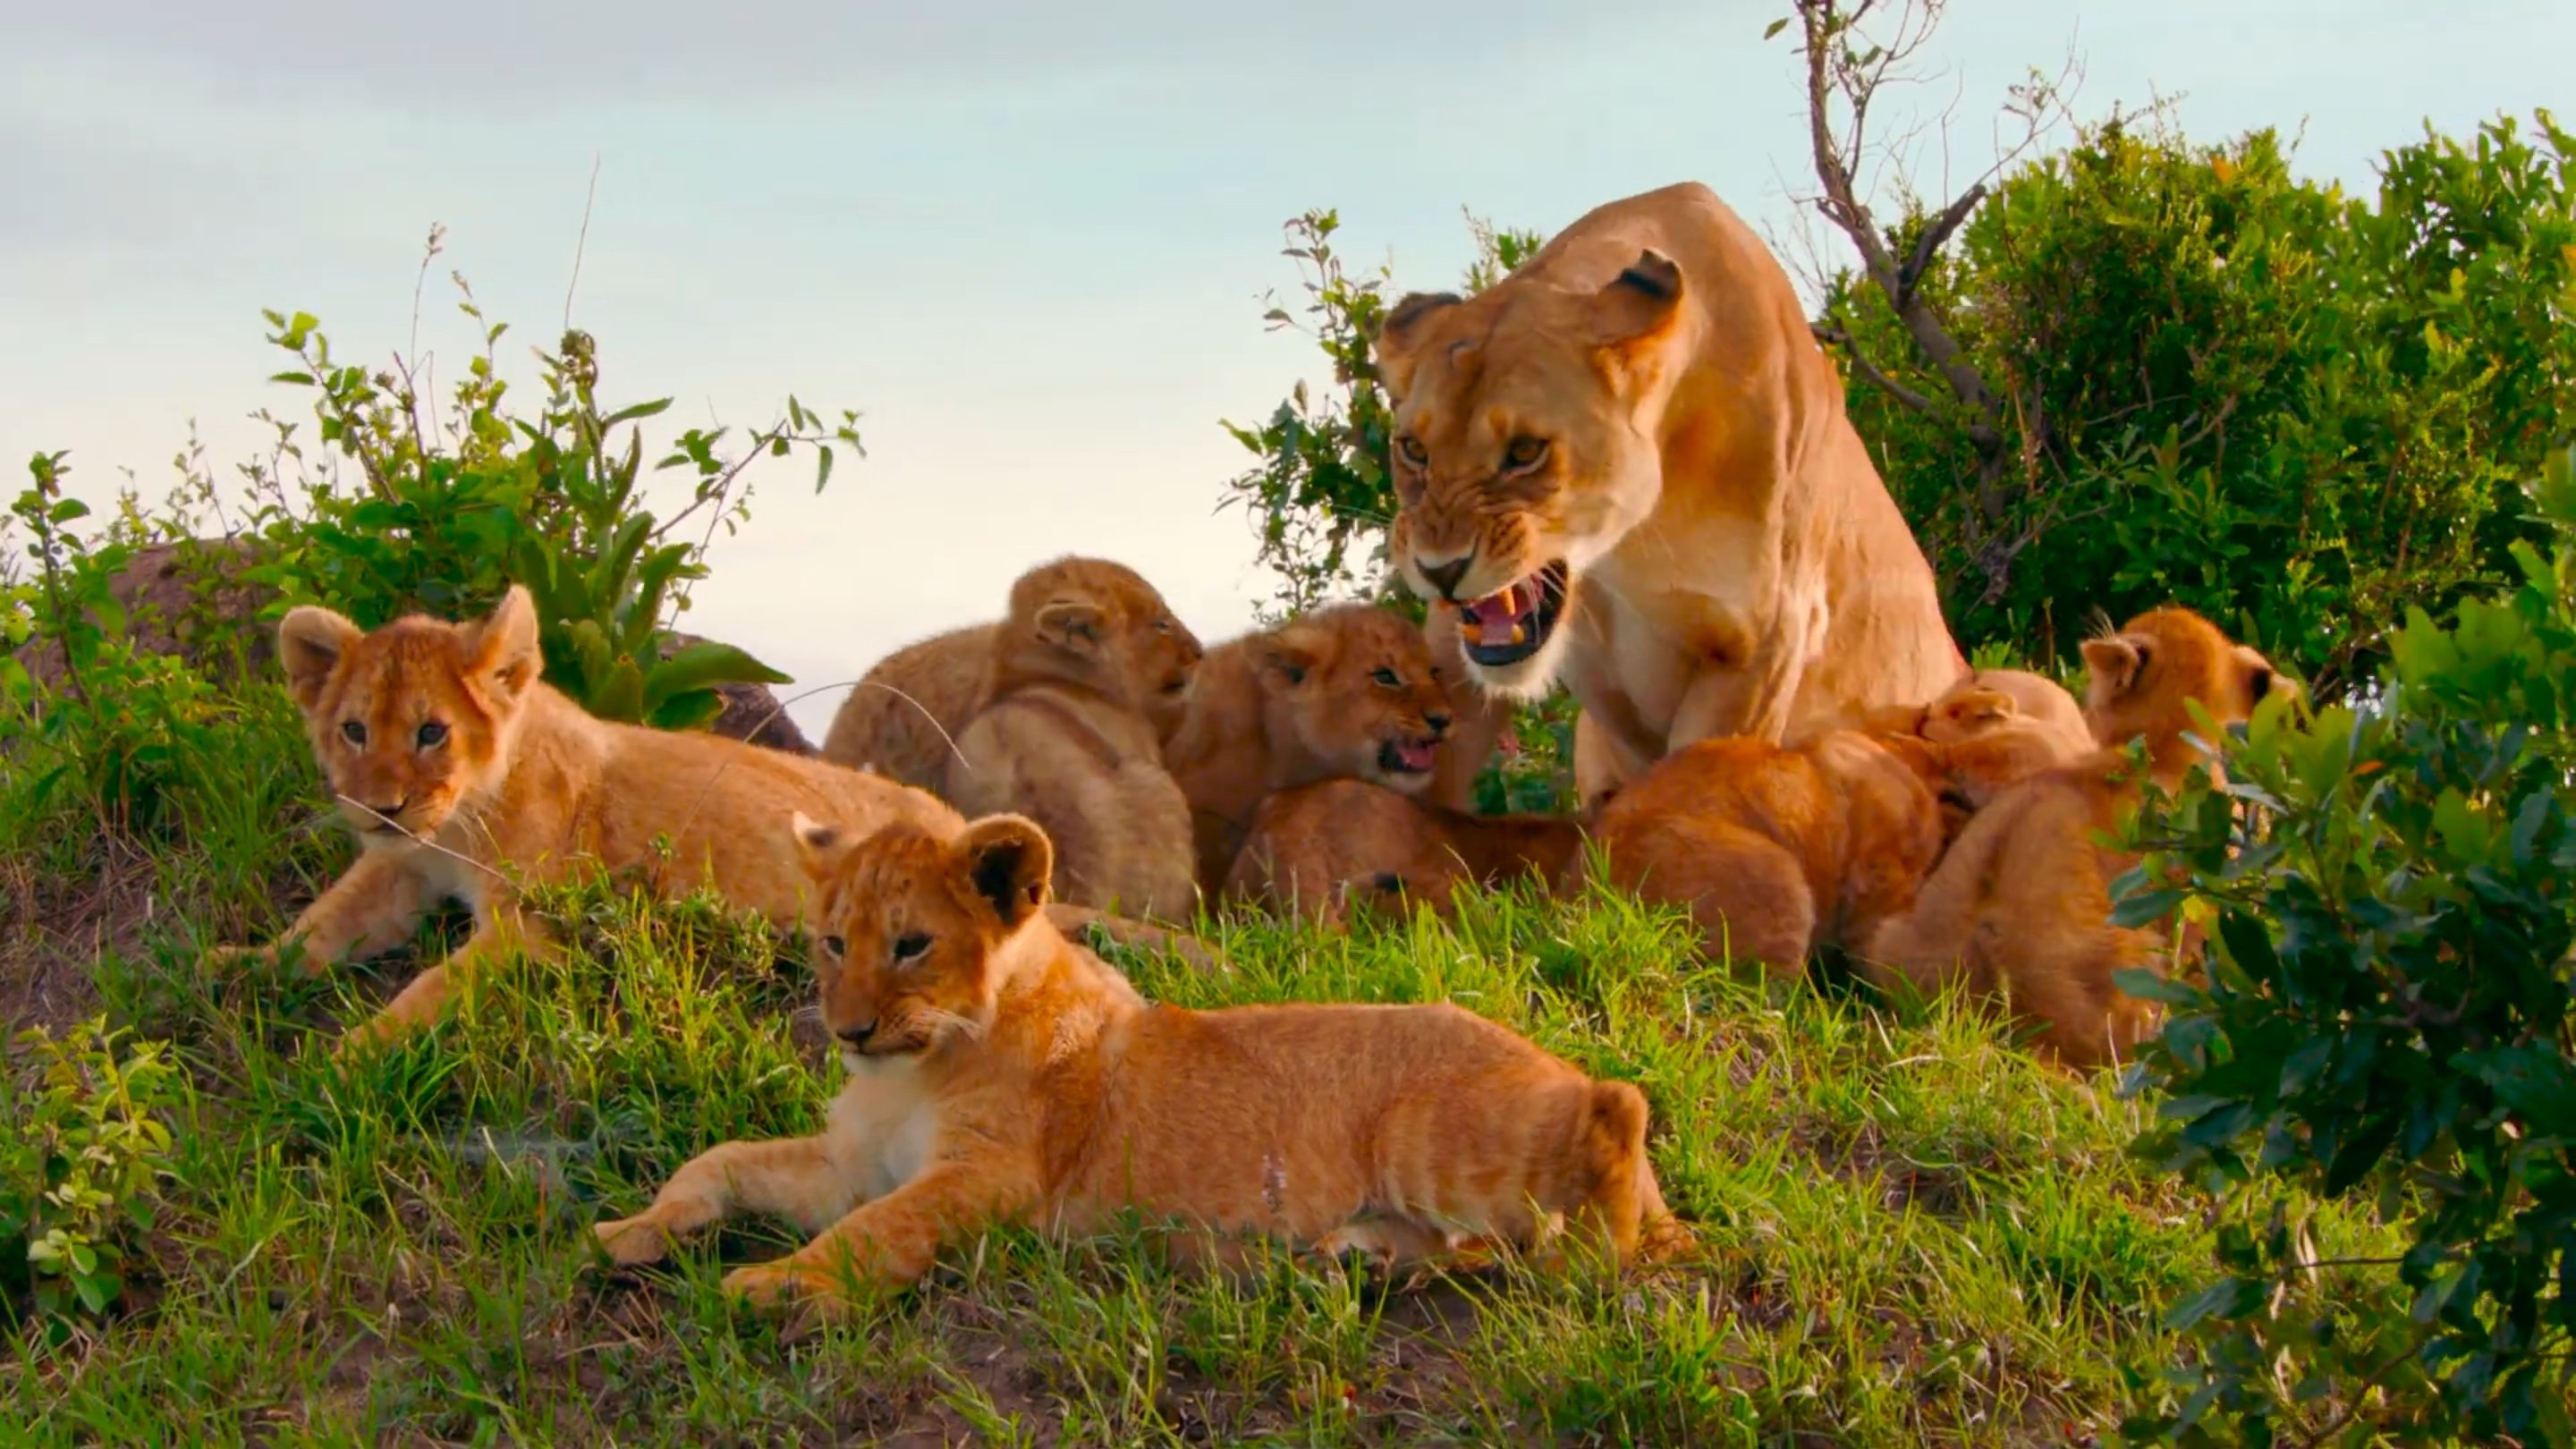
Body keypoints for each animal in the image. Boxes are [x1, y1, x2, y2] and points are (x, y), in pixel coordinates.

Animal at [592, 808, 1673, 1310]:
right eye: (830, 942)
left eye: (911, 945)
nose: (850, 1030)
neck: (915, 1070)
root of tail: (1541, 1056)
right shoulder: (849, 1164)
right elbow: (721, 1162)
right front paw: (633, 1230)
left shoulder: (990, 1177)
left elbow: (877, 1231)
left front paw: (777, 1287)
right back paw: (1358, 1258)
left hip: (1436, 1132)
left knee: (1619, 1117)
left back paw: (1585, 1255)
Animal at [1373, 181, 1964, 809]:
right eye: (1413, 449)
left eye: (1526, 450)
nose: (1440, 570)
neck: (1623, 543)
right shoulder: (1452, 648)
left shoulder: (1760, 648)